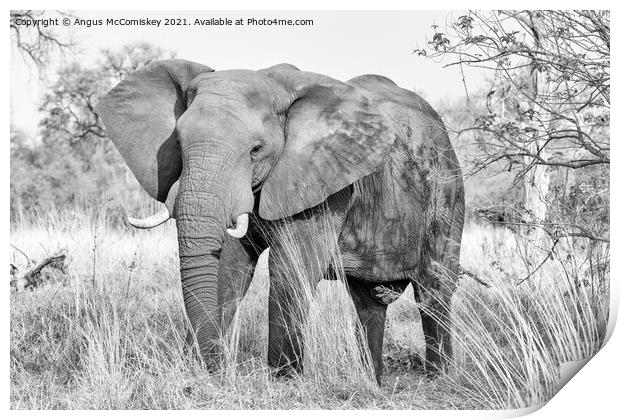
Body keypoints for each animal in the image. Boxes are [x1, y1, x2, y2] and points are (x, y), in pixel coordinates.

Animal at [95, 60, 464, 384]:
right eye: (177, 144)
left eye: (256, 150)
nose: (216, 366)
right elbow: (229, 268)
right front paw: (199, 369)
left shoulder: (324, 184)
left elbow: (289, 269)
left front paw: (283, 380)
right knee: (368, 303)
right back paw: (371, 383)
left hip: (447, 191)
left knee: (434, 290)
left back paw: (439, 378)